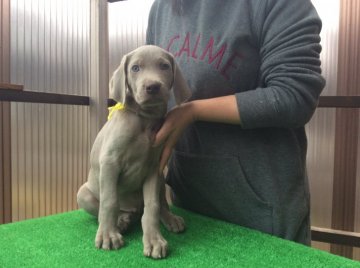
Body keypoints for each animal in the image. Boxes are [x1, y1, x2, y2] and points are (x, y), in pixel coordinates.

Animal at [77, 45, 190, 258]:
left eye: (164, 66)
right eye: (135, 68)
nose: (153, 87)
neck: (144, 120)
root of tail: (132, 210)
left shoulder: (154, 168)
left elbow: (153, 206)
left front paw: (154, 240)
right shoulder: (110, 162)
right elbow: (109, 201)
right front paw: (108, 235)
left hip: (161, 180)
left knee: (160, 203)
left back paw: (170, 219)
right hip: (83, 193)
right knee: (106, 208)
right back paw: (121, 221)